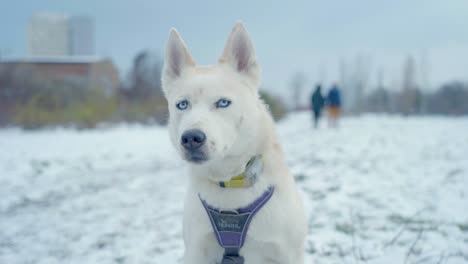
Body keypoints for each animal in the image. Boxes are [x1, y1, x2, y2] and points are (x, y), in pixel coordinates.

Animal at [161, 22, 308, 264]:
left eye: (223, 103)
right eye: (182, 105)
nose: (191, 138)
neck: (230, 182)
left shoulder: (287, 253)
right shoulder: (196, 251)